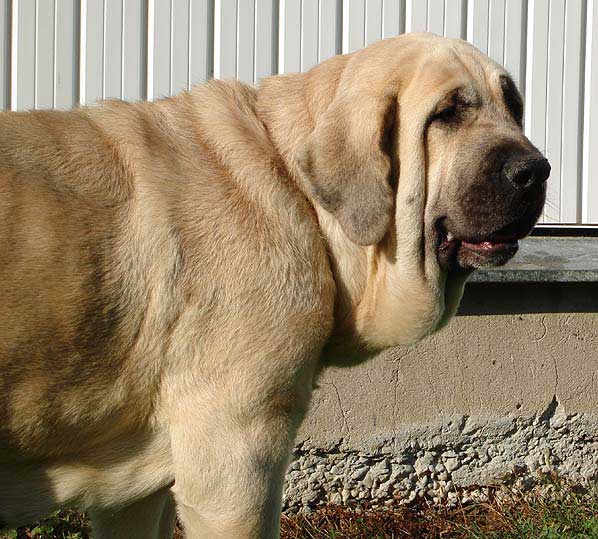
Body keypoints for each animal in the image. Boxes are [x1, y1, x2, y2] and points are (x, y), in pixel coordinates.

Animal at [0, 34, 552, 539]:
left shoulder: (134, 491)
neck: (296, 188)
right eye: (448, 114)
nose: (536, 170)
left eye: (514, 106)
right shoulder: (235, 456)